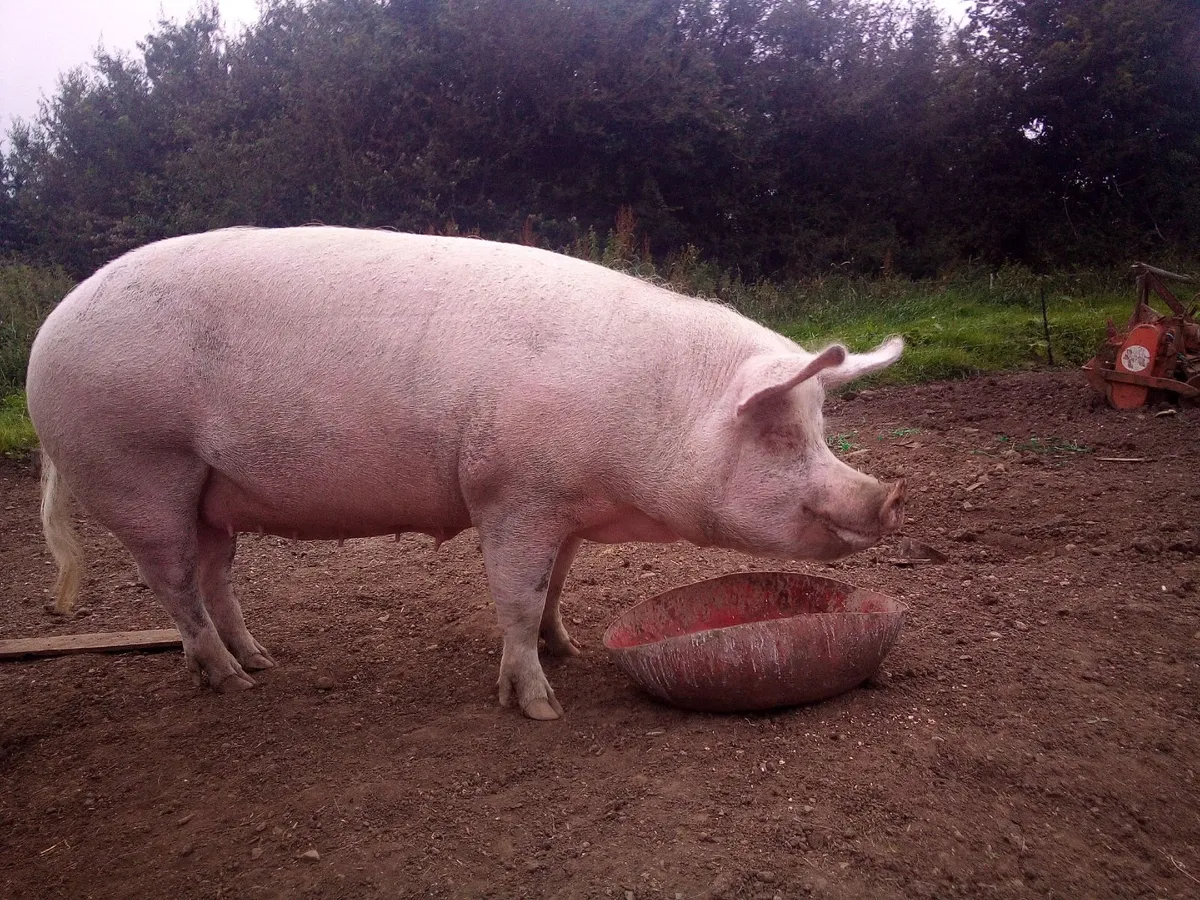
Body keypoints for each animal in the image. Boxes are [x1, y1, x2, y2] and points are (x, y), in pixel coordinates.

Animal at [26, 226, 906, 720]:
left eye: (820, 427)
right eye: (781, 436)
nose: (889, 496)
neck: (650, 416)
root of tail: (46, 337)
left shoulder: (564, 509)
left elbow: (553, 588)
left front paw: (568, 648)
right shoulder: (512, 492)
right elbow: (515, 596)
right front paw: (542, 710)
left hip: (211, 493)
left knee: (216, 578)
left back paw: (263, 663)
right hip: (140, 470)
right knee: (174, 587)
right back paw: (232, 686)